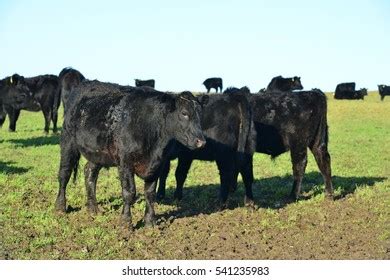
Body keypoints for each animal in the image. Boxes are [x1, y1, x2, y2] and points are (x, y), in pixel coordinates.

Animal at [55, 80, 207, 229]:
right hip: (68, 141)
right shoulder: (125, 162)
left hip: (98, 152)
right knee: (64, 174)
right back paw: (60, 207)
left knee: (90, 173)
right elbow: (129, 192)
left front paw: (150, 222)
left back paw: (93, 209)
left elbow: (150, 193)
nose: (201, 141)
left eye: (200, 114)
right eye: (184, 113)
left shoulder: (157, 164)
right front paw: (126, 223)